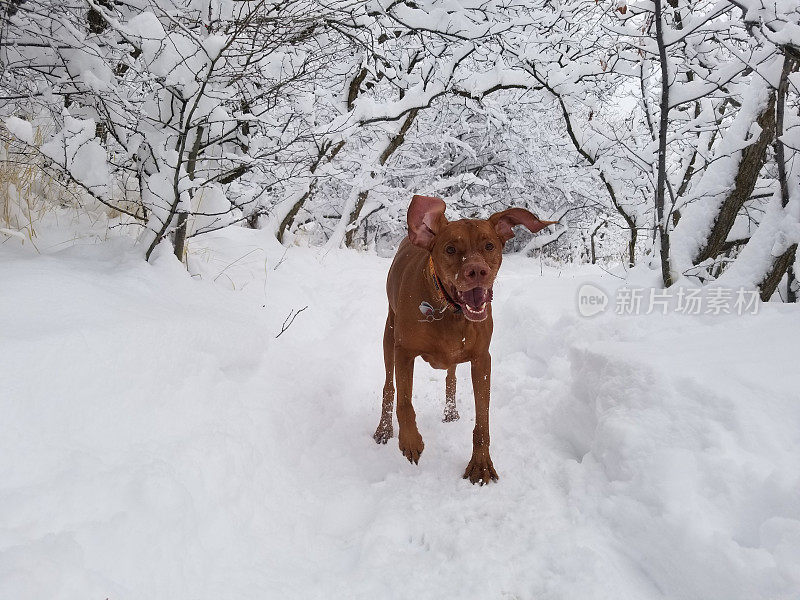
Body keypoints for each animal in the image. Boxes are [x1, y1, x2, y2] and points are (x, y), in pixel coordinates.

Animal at [372, 195, 552, 486]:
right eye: (450, 249)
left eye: (489, 245)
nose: (477, 270)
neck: (449, 308)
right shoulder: (405, 352)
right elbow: (404, 401)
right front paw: (410, 440)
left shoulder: (481, 360)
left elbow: (483, 420)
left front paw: (481, 463)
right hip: (389, 337)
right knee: (389, 387)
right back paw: (385, 429)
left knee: (451, 375)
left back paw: (450, 411)